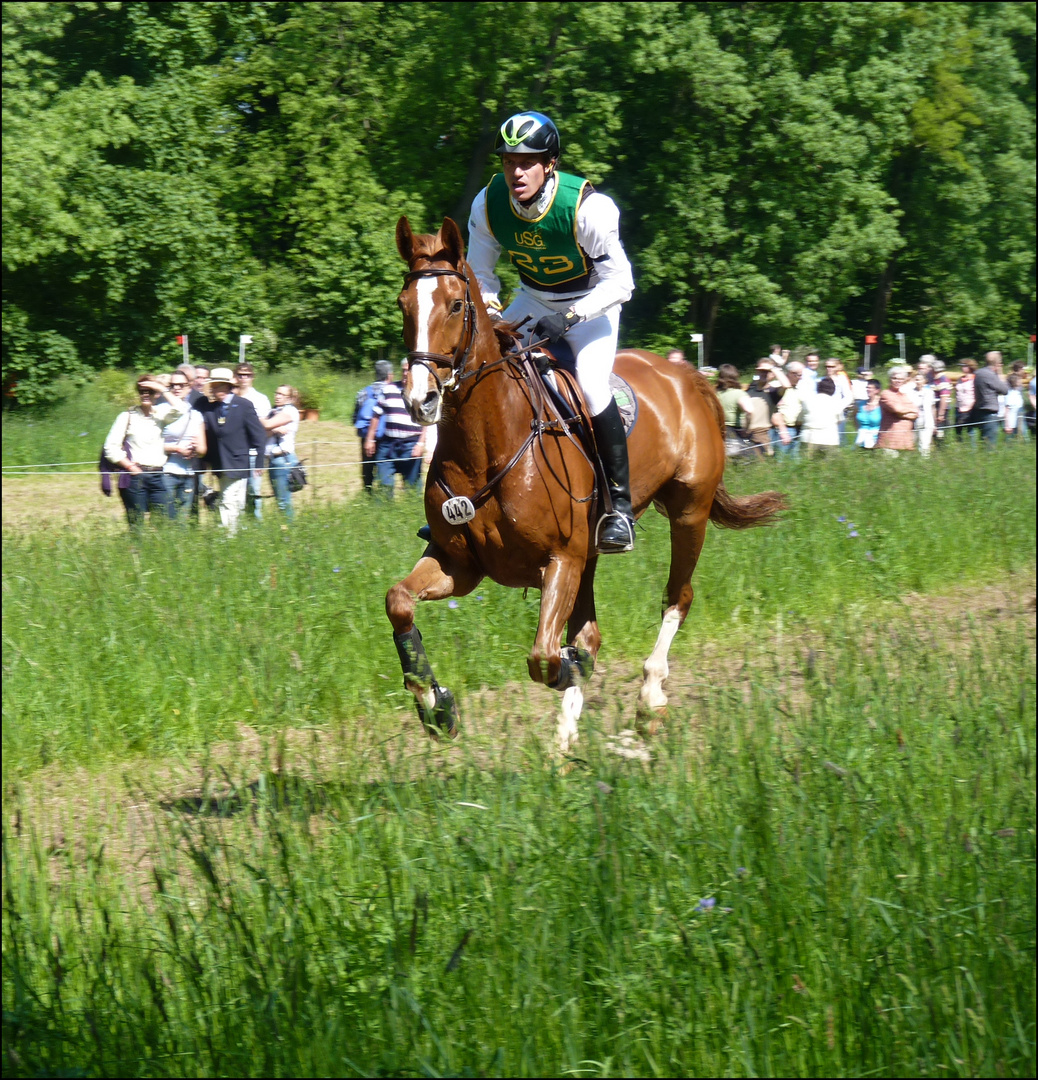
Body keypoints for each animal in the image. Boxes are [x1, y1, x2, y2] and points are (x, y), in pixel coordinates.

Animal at [384, 212, 782, 751]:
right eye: (404, 304)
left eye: (456, 304)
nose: (419, 399)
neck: (488, 444)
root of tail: (688, 376)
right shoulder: (458, 564)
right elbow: (400, 603)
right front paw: (436, 705)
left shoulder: (560, 560)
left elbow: (546, 657)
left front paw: (575, 672)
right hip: (594, 552)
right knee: (589, 630)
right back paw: (564, 742)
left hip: (688, 513)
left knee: (676, 598)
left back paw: (649, 699)